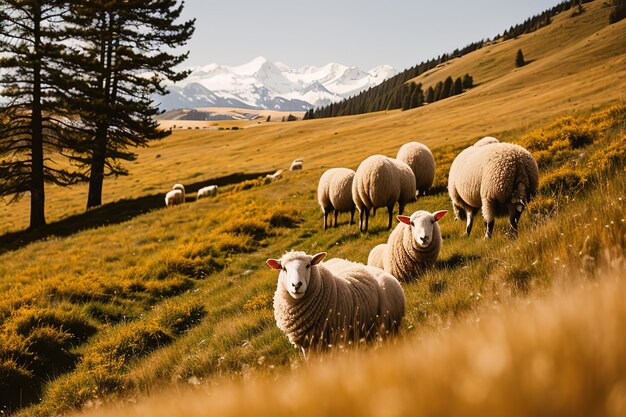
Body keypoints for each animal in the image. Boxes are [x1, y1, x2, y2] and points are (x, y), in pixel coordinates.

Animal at [264, 250, 404, 352]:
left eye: (308, 265)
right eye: (283, 268)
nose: (296, 285)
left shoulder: (336, 339)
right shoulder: (307, 344)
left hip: (387, 328)